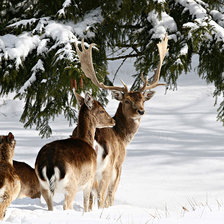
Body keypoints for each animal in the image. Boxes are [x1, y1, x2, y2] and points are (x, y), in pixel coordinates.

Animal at [73, 33, 168, 208]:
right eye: (127, 101)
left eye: (143, 99)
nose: (141, 111)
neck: (123, 138)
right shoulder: (119, 166)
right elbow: (111, 195)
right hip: (106, 169)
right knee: (101, 195)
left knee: (87, 195)